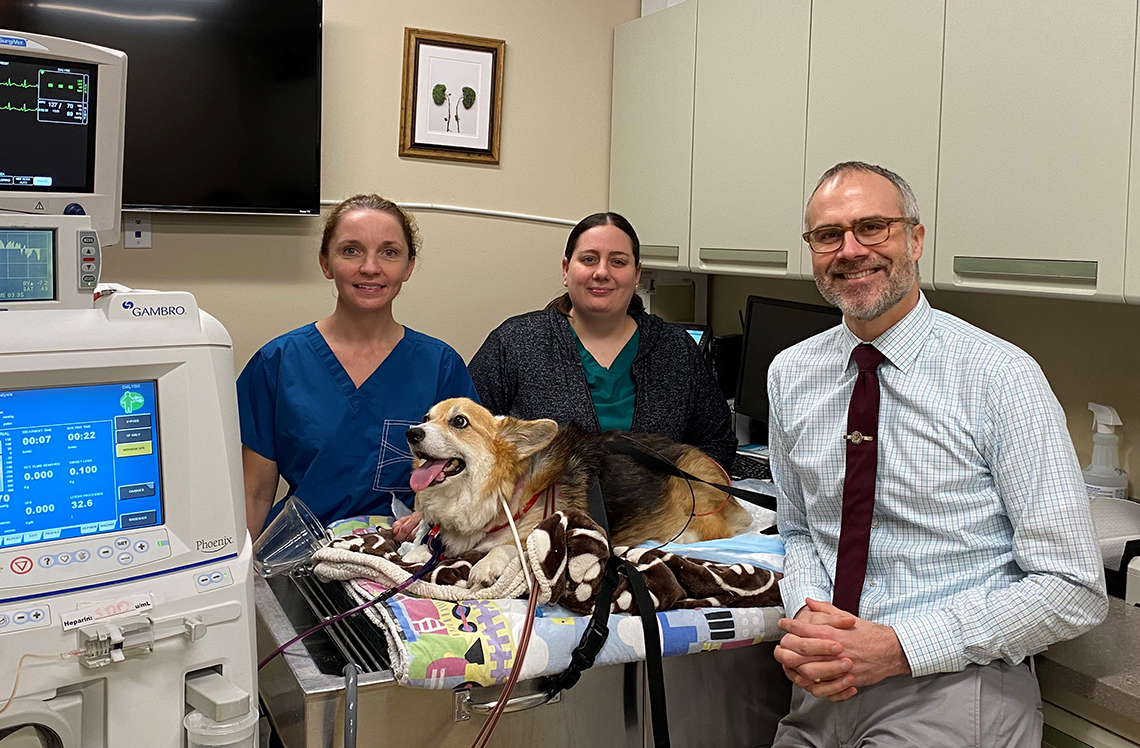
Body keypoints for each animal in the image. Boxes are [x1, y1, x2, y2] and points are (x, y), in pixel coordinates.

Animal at [401, 396, 747, 588]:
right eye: (426, 418)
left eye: (459, 421)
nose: (411, 433)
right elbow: (430, 546)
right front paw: (417, 551)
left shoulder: (544, 531)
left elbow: (509, 546)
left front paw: (486, 565)